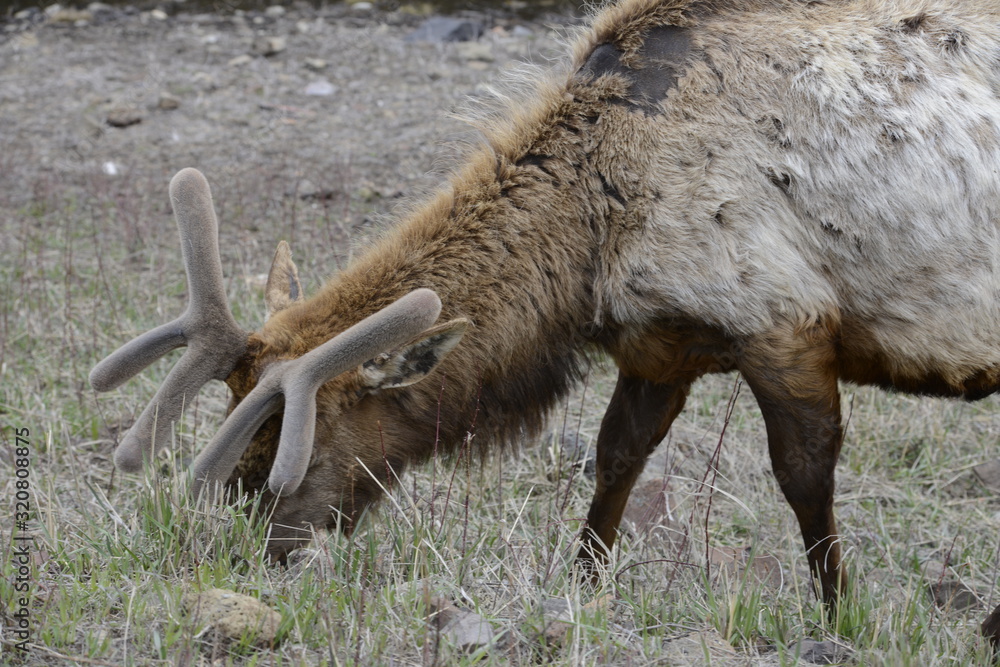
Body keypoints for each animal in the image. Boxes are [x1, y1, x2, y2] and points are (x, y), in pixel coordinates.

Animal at [90, 0, 1000, 648]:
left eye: (299, 445)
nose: (257, 546)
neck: (592, 240)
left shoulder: (782, 318)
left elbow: (805, 479)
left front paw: (840, 613)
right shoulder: (662, 345)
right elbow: (615, 460)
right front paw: (583, 585)